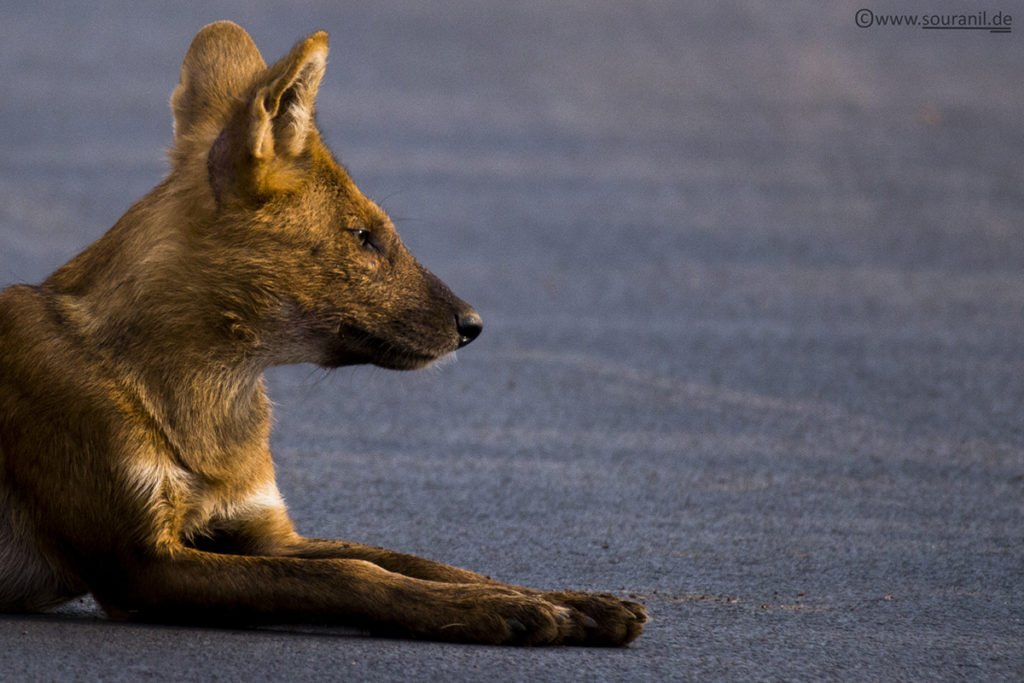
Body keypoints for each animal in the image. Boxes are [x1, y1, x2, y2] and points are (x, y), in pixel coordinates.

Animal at [0, 18, 643, 643]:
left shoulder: (262, 530)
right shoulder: (138, 564)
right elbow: (353, 573)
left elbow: (418, 561)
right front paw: (502, 611)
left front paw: (569, 601)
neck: (210, 401)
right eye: (362, 236)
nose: (472, 324)